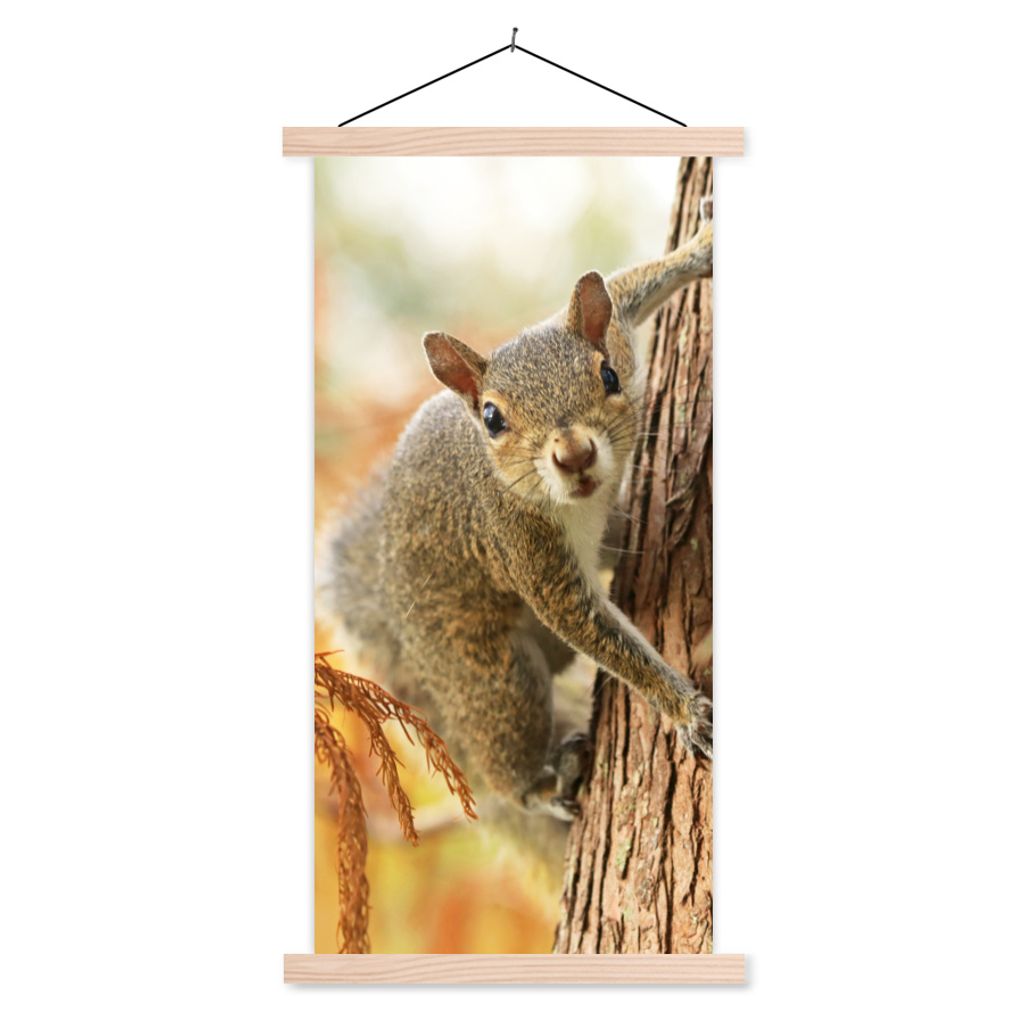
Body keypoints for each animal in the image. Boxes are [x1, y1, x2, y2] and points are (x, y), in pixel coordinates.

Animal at [320, 213, 713, 821]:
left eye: (608, 375)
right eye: (491, 418)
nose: (574, 455)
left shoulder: (617, 331)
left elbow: (627, 286)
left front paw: (701, 248)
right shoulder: (521, 546)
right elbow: (596, 633)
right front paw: (684, 708)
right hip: (497, 682)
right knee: (508, 763)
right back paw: (544, 786)